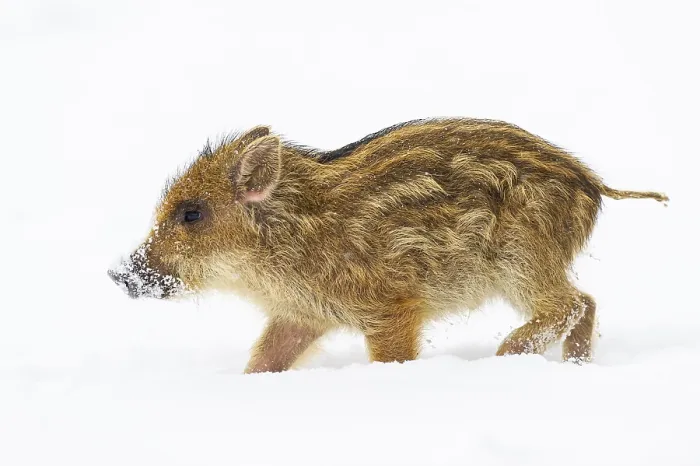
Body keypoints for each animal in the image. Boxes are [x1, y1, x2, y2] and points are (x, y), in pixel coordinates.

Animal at [108, 118, 668, 373]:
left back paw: (504, 357)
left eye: (192, 213)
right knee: (586, 303)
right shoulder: (300, 315)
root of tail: (592, 183)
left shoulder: (391, 307)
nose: (120, 274)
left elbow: (392, 359)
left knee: (570, 303)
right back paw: (574, 366)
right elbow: (263, 362)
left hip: (523, 261)